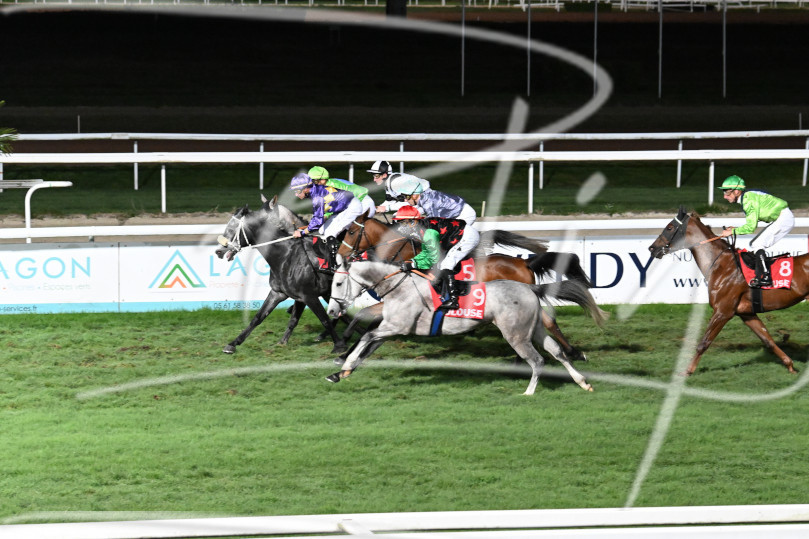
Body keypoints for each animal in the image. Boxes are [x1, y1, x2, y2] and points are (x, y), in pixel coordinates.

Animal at [214, 194, 347, 354]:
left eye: (232, 228)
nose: (218, 251)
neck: (286, 256)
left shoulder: (308, 295)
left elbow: (325, 319)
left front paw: (339, 345)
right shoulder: (279, 293)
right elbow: (259, 317)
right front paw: (233, 344)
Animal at [325, 260, 604, 395]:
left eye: (337, 283)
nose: (331, 311)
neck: (400, 287)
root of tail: (530, 288)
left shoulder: (395, 326)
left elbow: (367, 337)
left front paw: (345, 363)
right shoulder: (391, 328)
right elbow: (368, 347)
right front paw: (340, 373)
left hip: (515, 334)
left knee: (538, 360)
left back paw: (528, 392)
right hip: (533, 329)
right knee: (556, 352)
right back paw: (582, 382)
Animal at [336, 212, 593, 361]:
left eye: (351, 231)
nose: (340, 254)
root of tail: (523, 262)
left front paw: (344, 347)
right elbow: (362, 315)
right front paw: (345, 349)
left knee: (548, 321)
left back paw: (573, 353)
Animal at [648, 206, 809, 376]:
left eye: (669, 227)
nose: (652, 248)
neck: (721, 265)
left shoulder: (722, 312)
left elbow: (704, 342)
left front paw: (687, 372)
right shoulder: (746, 313)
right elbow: (767, 340)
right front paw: (790, 365)